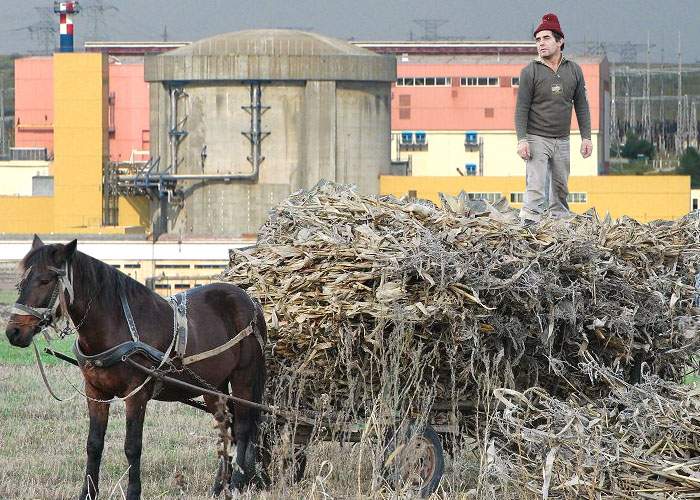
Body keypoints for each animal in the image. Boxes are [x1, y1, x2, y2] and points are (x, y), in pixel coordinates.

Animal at [4, 236, 266, 498]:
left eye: (45, 281)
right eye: (22, 282)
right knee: (225, 428)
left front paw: (132, 492)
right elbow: (93, 444)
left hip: (244, 377)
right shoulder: (96, 393)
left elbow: (132, 446)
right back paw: (218, 486)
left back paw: (236, 484)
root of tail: (250, 300)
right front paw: (88, 492)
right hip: (213, 386)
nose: (13, 332)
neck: (115, 324)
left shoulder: (136, 394)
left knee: (242, 428)